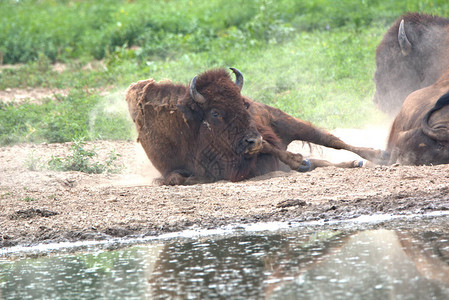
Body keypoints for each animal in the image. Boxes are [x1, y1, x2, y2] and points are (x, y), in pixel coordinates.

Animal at [126, 68, 384, 185]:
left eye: (245, 104)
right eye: (215, 112)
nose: (253, 139)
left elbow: (271, 148)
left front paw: (299, 160)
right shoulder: (170, 170)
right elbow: (177, 178)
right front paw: (301, 162)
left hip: (289, 122)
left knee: (331, 140)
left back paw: (376, 155)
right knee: (322, 159)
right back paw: (348, 163)